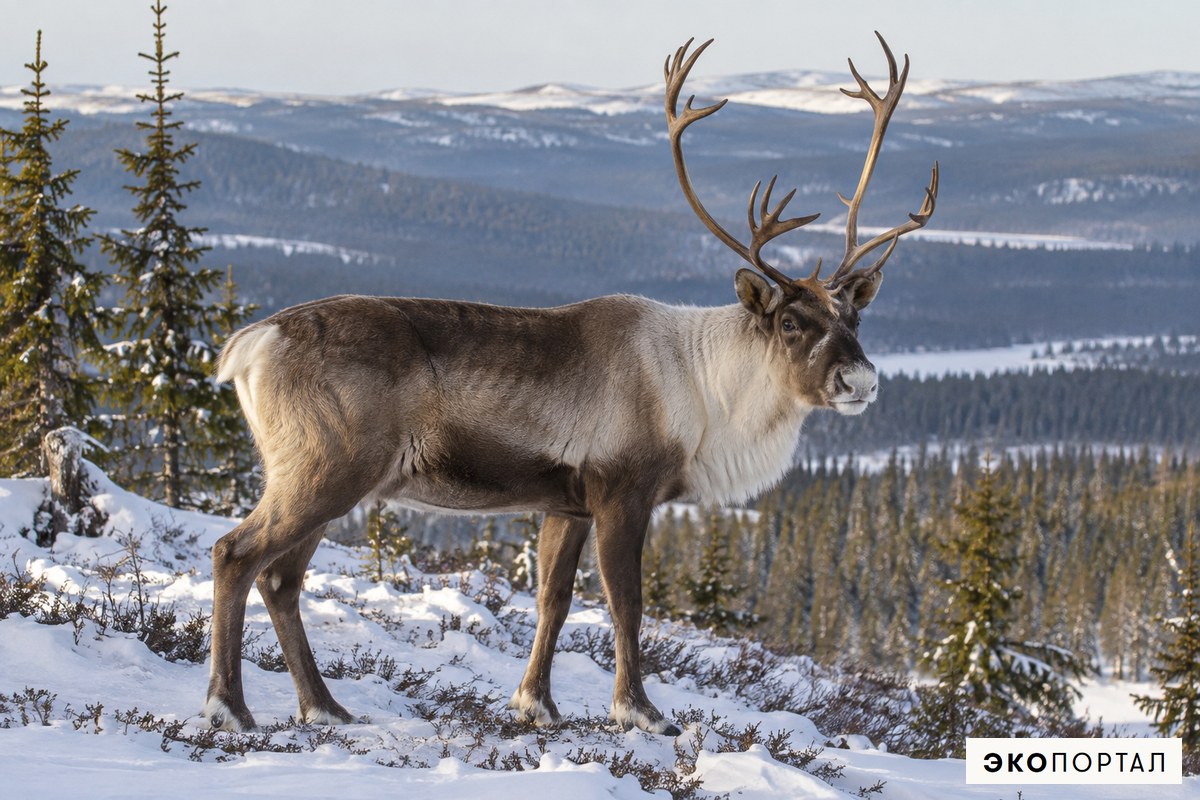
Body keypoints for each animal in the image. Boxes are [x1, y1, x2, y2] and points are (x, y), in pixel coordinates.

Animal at [204, 32, 938, 736]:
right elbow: (626, 603)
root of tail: (251, 343)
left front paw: (536, 703)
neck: (707, 396)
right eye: (789, 320)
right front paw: (639, 710)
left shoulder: (567, 502)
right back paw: (229, 708)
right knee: (236, 553)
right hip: (325, 468)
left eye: (853, 316)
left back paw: (323, 707)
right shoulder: (622, 491)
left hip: (323, 479)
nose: (860, 378)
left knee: (281, 578)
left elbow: (553, 600)